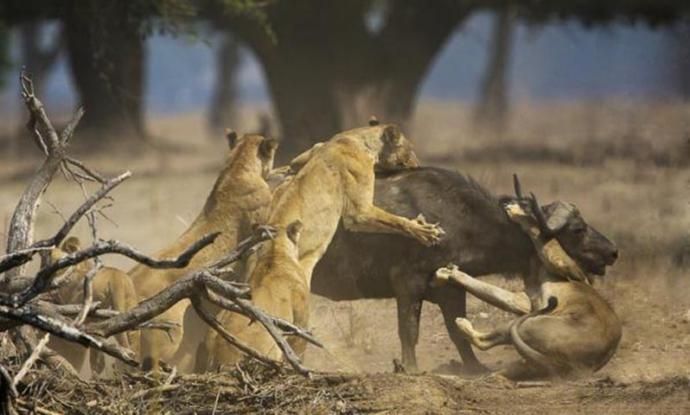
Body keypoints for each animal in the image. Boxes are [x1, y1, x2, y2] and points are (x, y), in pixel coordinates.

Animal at [206, 122, 440, 368]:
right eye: (409, 148)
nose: (418, 164)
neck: (356, 139)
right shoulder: (359, 212)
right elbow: (395, 221)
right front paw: (424, 231)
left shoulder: (311, 151)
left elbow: (291, 166)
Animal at [436, 198, 620, 380]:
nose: (507, 203)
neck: (535, 265)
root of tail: (573, 368)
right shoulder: (525, 299)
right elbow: (492, 291)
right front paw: (448, 273)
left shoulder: (570, 270)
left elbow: (539, 233)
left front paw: (516, 212)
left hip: (530, 323)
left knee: (486, 341)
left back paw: (462, 324)